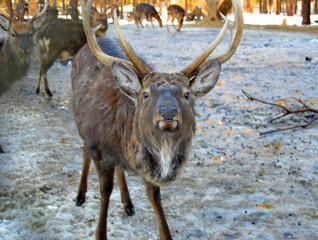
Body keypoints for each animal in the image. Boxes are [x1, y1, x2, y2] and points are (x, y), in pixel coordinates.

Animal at [72, 0, 242, 238]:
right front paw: (100, 233)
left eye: (186, 94)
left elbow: (154, 197)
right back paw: (80, 194)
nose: (168, 111)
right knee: (84, 152)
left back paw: (128, 203)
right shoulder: (98, 147)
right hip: (82, 127)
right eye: (146, 94)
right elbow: (105, 191)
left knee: (119, 169)